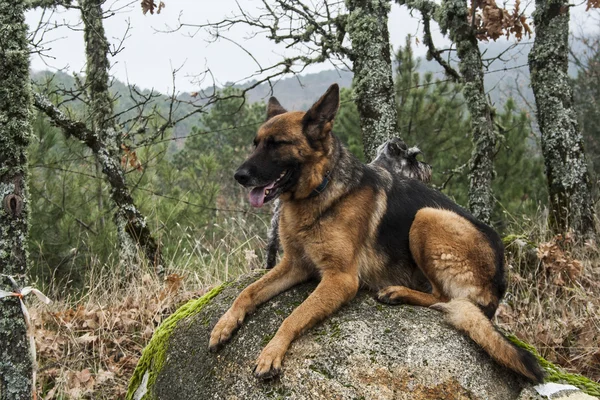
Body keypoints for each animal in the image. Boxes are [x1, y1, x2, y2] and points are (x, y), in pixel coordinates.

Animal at [209, 83, 548, 382]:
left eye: (277, 144)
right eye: (256, 143)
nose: (239, 176)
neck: (321, 191)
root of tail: (499, 283)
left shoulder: (340, 279)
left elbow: (293, 316)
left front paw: (271, 352)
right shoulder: (294, 265)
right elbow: (247, 292)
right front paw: (224, 324)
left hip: (427, 216)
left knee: (442, 298)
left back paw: (397, 292)